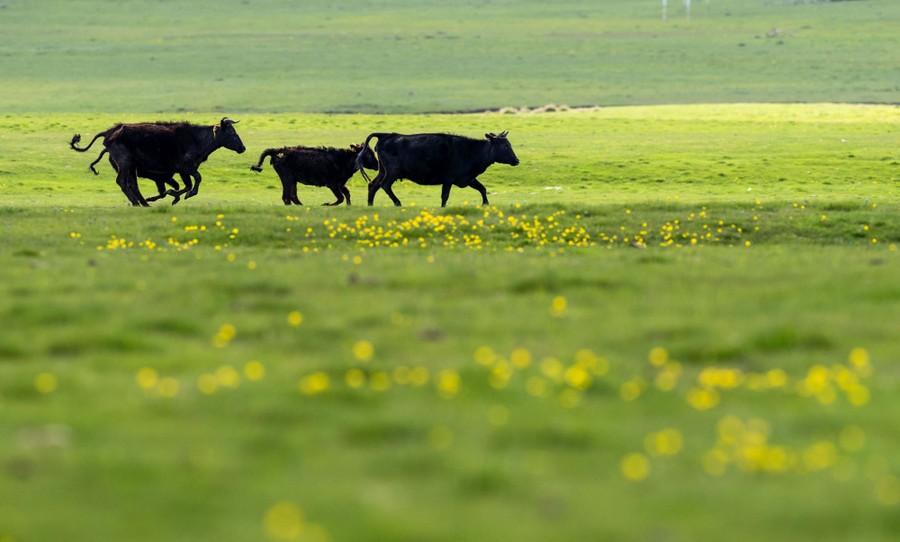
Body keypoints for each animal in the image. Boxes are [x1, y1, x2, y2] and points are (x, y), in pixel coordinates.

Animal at [69, 118, 246, 206]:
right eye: (231, 133)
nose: (242, 148)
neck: (196, 138)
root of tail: (109, 133)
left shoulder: (180, 171)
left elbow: (185, 185)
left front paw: (173, 196)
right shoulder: (185, 168)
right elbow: (195, 181)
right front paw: (183, 195)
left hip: (131, 167)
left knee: (132, 184)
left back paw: (145, 203)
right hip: (125, 164)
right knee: (122, 182)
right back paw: (137, 203)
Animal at [250, 144, 379, 206]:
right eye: (368, 154)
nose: (377, 165)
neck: (343, 160)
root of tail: (277, 151)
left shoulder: (340, 184)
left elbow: (346, 194)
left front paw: (349, 205)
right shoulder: (333, 184)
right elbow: (341, 198)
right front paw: (325, 204)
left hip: (293, 180)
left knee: (292, 196)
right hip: (286, 178)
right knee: (287, 197)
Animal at [356, 131, 519, 207]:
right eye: (505, 146)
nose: (517, 161)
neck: (471, 151)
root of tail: (386, 135)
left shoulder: (467, 178)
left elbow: (482, 189)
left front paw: (485, 204)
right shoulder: (449, 178)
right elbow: (445, 196)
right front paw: (443, 207)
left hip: (382, 170)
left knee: (373, 185)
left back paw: (370, 205)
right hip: (392, 172)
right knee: (384, 185)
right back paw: (397, 202)